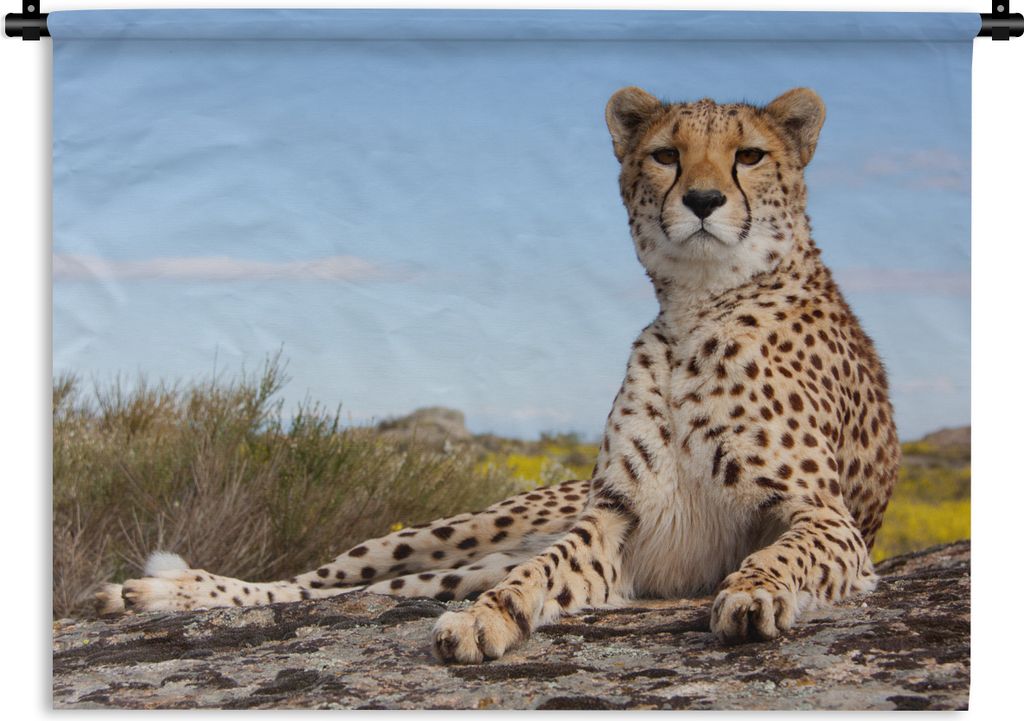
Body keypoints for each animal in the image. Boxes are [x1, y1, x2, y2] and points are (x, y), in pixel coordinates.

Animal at [95, 86, 900, 665]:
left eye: (751, 155)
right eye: (667, 155)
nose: (703, 200)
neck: (697, 307)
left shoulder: (826, 518)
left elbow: (781, 552)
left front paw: (753, 594)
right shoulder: (615, 520)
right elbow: (540, 574)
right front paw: (489, 620)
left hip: (456, 561)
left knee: (364, 589)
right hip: (456, 533)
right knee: (315, 580)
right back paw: (162, 591)